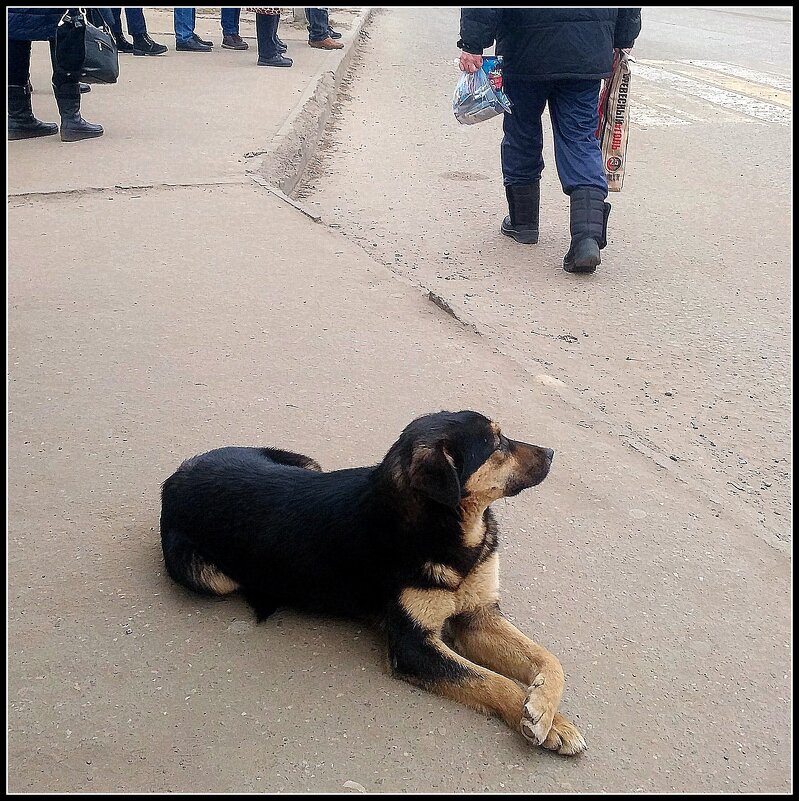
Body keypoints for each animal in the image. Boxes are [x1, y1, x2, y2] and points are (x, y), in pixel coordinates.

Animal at [161, 410, 588, 752]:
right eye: (497, 443)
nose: (552, 453)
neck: (445, 529)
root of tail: (178, 474)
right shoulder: (414, 646)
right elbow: (492, 681)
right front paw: (536, 718)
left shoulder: (479, 616)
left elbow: (549, 659)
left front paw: (547, 714)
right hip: (209, 577)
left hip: (307, 463)